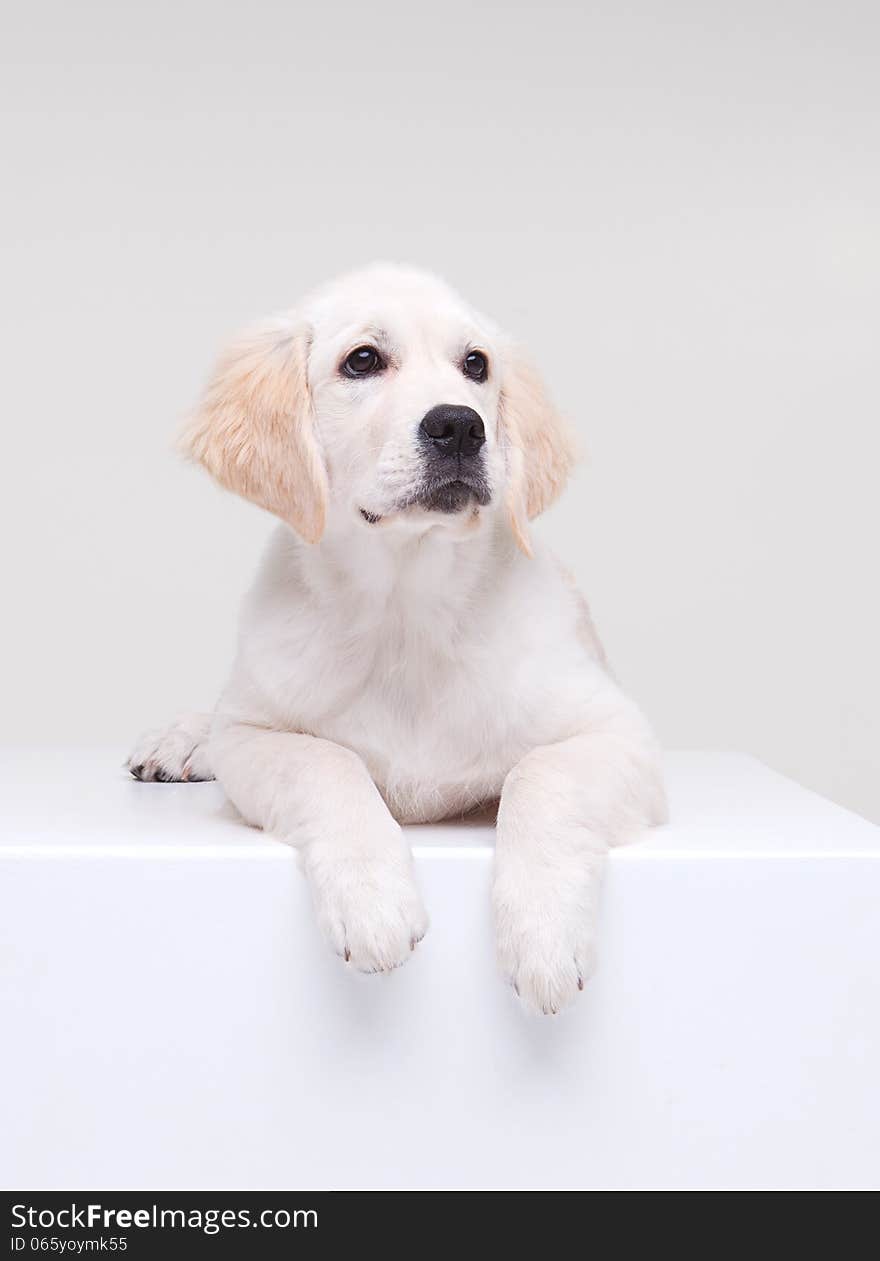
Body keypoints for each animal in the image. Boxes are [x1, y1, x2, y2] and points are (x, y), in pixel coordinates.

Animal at [128, 263, 665, 1013]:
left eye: (476, 365)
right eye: (362, 361)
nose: (460, 426)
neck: (408, 608)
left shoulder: (617, 732)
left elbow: (541, 776)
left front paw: (545, 933)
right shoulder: (254, 735)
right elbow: (326, 764)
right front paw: (373, 901)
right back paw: (178, 740)